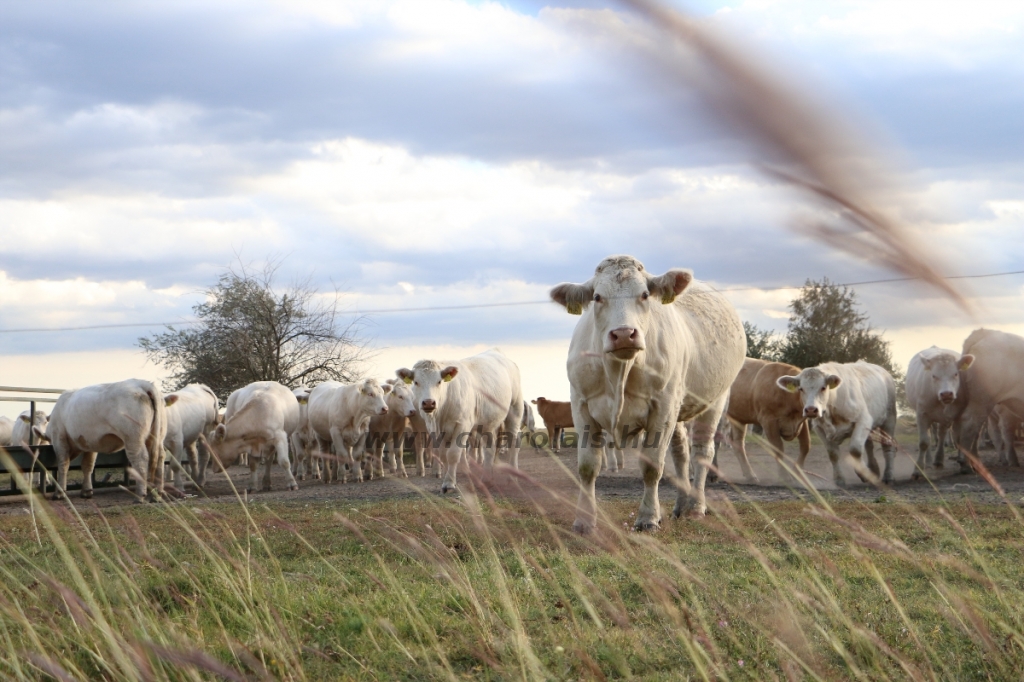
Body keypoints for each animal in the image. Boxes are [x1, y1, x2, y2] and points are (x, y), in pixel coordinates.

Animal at [39, 376, 169, 499]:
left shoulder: (59, 438)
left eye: (50, 440)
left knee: (140, 459)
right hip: (157, 436)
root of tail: (143, 384)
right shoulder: (90, 442)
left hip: (133, 437)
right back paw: (158, 493)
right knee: (160, 457)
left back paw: (140, 495)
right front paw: (87, 491)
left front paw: (59, 493)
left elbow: (63, 464)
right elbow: (88, 466)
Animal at [395, 348, 524, 491]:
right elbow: (443, 455)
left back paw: (513, 478)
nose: (429, 403)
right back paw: (487, 479)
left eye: (439, 381)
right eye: (416, 382)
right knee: (489, 447)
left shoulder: (462, 425)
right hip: (488, 423)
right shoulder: (434, 429)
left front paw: (449, 484)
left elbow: (453, 454)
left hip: (514, 410)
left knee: (514, 441)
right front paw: (449, 479)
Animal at [552, 254, 745, 532]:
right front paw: (584, 521)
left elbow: (652, 466)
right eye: (597, 297)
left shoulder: (662, 407)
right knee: (681, 454)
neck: (619, 371)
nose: (624, 334)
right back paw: (680, 507)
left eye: (644, 295)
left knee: (702, 452)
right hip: (678, 406)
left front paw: (649, 518)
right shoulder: (581, 405)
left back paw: (696, 507)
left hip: (713, 400)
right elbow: (588, 466)